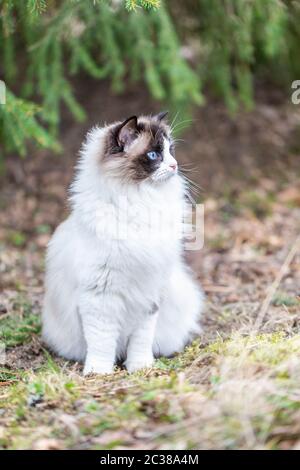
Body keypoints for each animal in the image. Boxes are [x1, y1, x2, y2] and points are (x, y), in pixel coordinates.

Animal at [42, 113, 204, 374]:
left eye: (171, 151)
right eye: (153, 155)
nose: (174, 166)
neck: (139, 200)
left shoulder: (149, 292)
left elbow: (140, 340)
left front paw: (140, 368)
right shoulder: (100, 295)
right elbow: (102, 342)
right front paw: (99, 373)